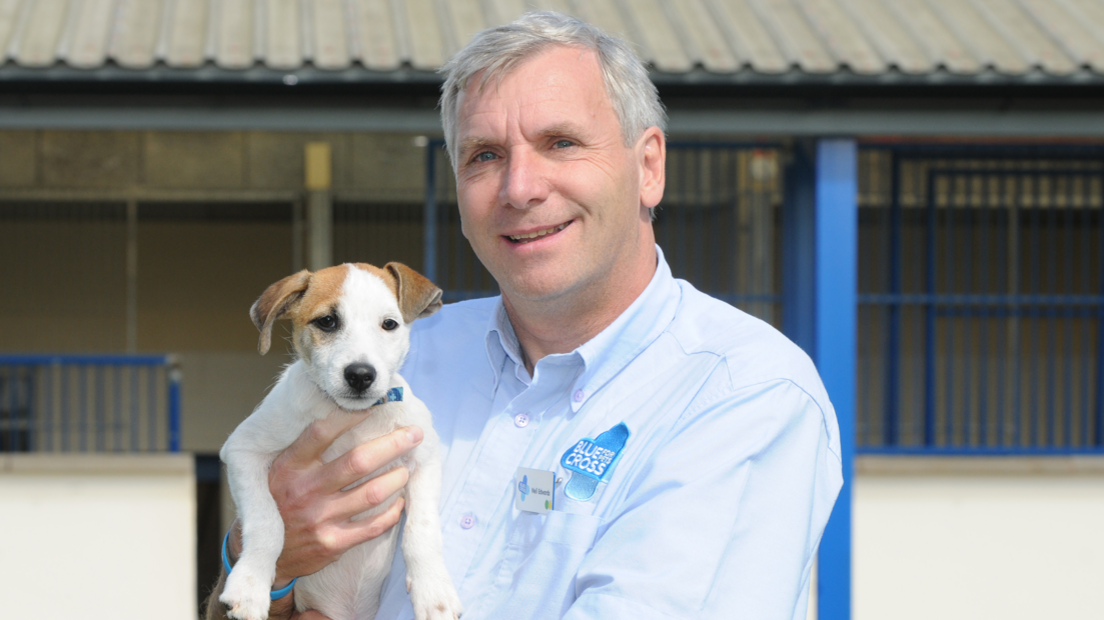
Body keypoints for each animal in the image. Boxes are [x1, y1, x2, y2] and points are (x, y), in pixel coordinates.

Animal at [219, 260, 461, 617]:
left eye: (389, 324)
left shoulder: (424, 457)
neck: (353, 419)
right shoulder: (242, 449)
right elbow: (268, 523)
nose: (360, 375)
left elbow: (422, 530)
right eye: (327, 321)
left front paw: (433, 591)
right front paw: (249, 585)